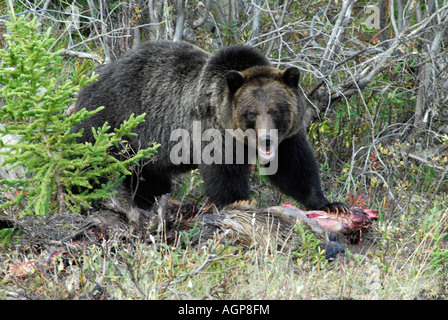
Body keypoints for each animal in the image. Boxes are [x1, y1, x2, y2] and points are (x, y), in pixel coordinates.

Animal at [73, 41, 346, 214]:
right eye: (251, 113)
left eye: (276, 110)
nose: (266, 140)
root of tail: (90, 78)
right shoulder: (213, 130)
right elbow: (224, 174)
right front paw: (238, 203)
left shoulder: (287, 137)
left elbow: (294, 167)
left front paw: (330, 203)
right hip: (111, 121)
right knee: (88, 161)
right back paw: (82, 197)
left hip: (145, 149)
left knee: (149, 178)